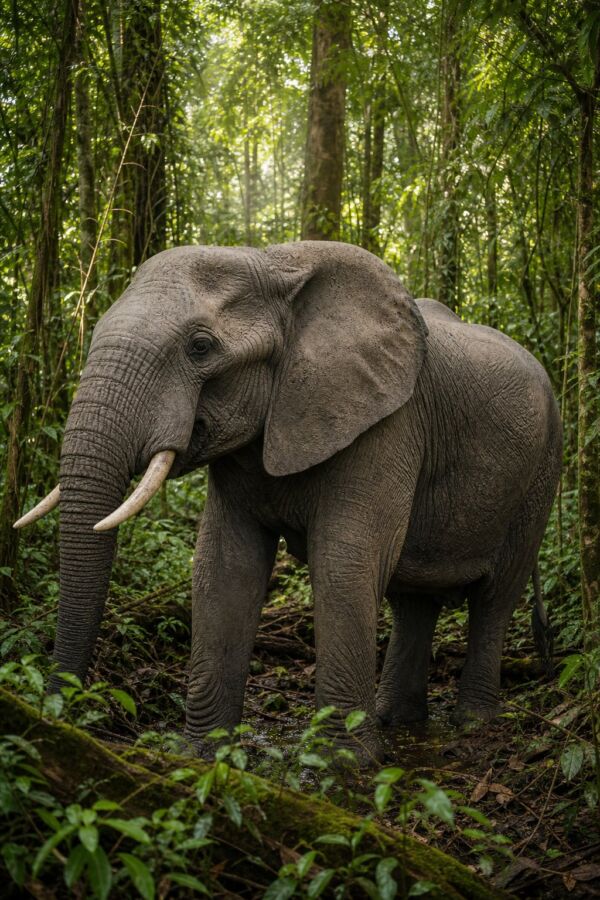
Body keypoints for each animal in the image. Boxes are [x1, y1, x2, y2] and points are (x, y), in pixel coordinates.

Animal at [16, 241, 562, 763]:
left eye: (200, 347)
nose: (57, 713)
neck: (273, 262)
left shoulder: (389, 424)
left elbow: (344, 562)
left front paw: (341, 768)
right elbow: (223, 569)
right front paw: (202, 754)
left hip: (542, 471)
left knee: (497, 595)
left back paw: (470, 724)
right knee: (413, 599)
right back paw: (396, 720)